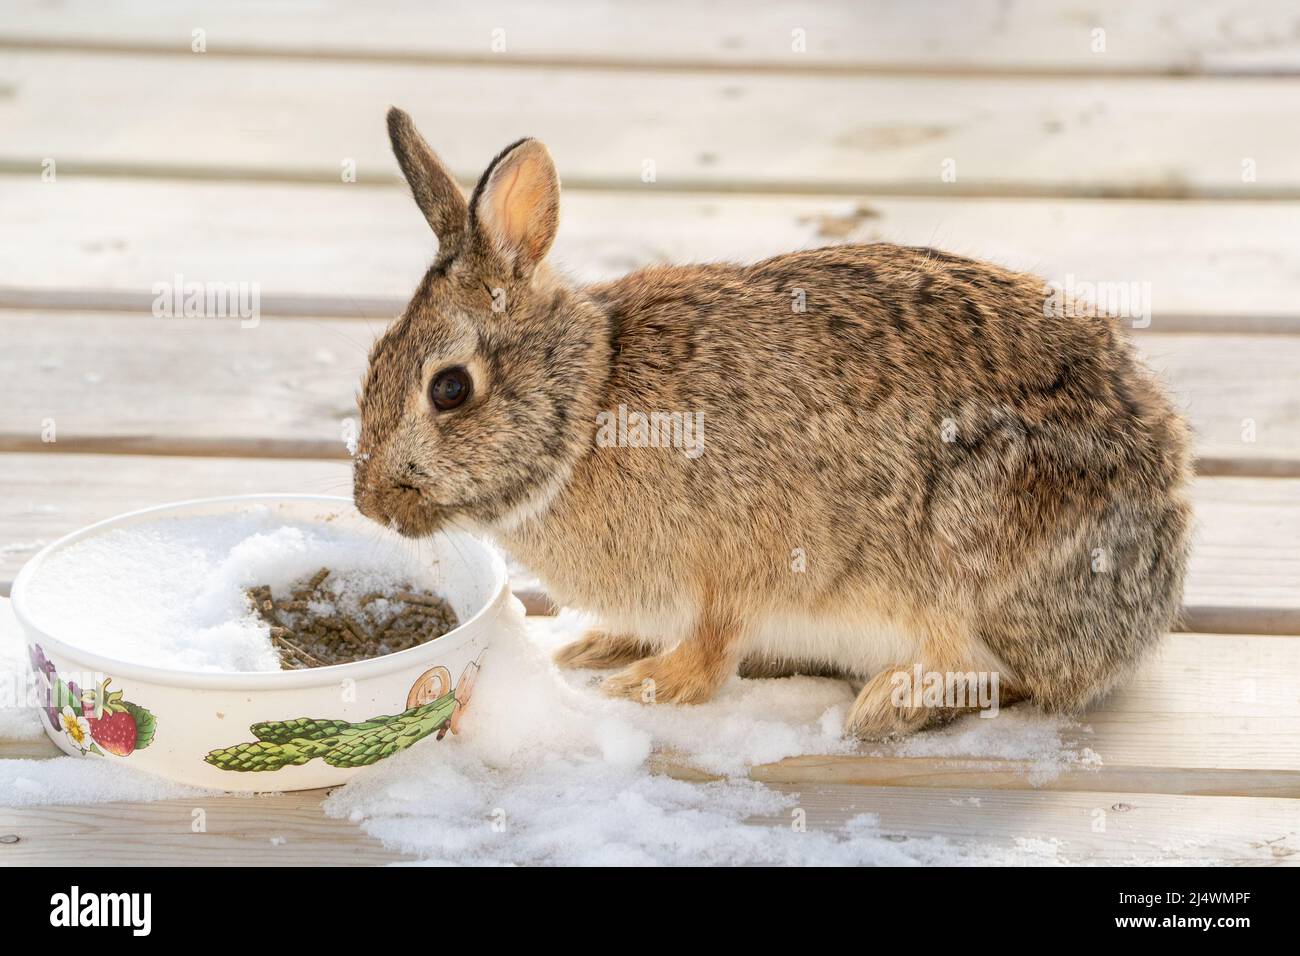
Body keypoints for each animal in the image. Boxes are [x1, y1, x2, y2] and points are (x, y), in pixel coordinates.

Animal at [353, 110, 1190, 738]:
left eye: (450, 389)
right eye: (375, 357)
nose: (371, 503)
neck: (590, 402)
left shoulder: (737, 566)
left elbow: (714, 641)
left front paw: (650, 685)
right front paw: (598, 648)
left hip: (975, 542)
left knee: (987, 669)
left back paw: (887, 706)